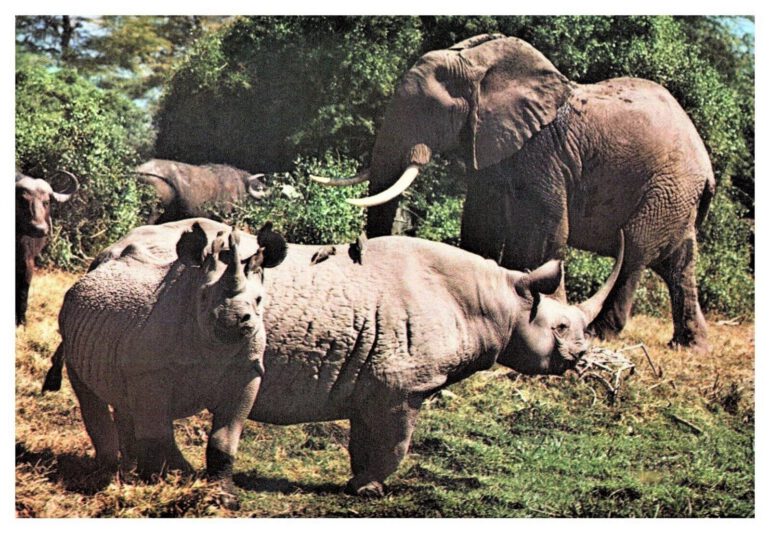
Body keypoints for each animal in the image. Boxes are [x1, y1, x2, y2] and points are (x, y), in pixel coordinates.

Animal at [42, 218, 287, 508]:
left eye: (259, 300)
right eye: (203, 297)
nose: (233, 319)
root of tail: (89, 273)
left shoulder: (247, 370)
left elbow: (225, 437)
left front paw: (225, 498)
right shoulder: (149, 371)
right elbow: (157, 431)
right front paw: (167, 481)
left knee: (124, 400)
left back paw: (132, 473)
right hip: (69, 324)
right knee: (91, 394)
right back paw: (108, 474)